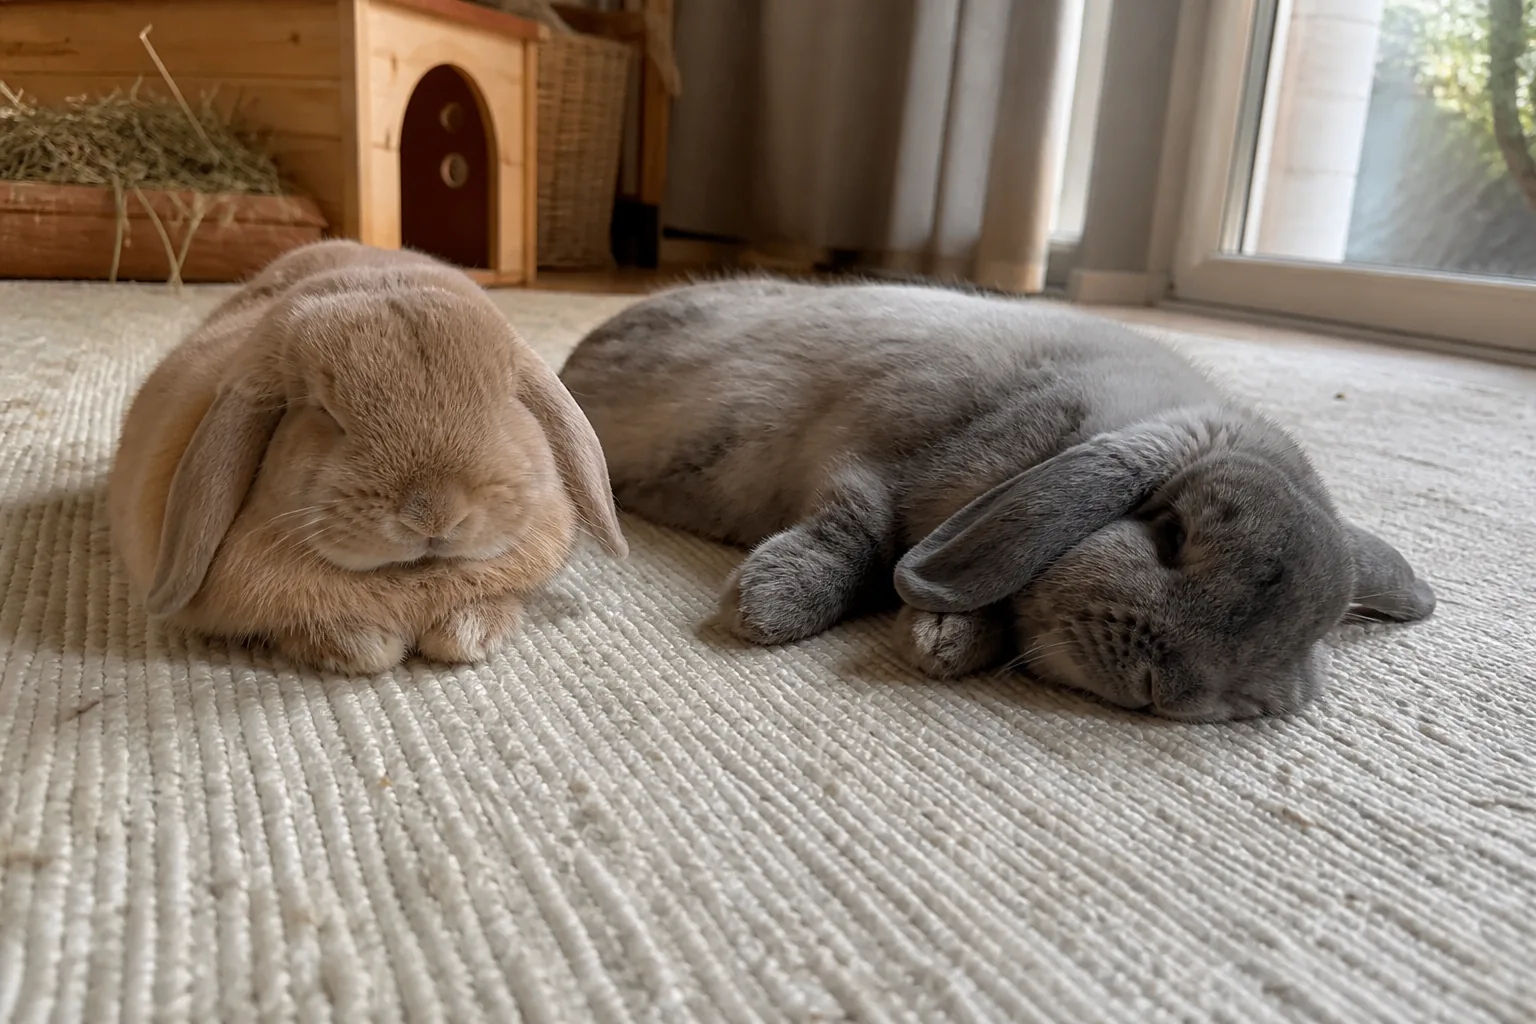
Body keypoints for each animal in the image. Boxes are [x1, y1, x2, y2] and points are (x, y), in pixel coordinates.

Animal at [557, 275, 1436, 722]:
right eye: (1171, 535)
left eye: (1298, 643)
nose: (1164, 691)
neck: (1057, 437)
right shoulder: (873, 460)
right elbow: (859, 535)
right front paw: (770, 605)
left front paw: (945, 636)